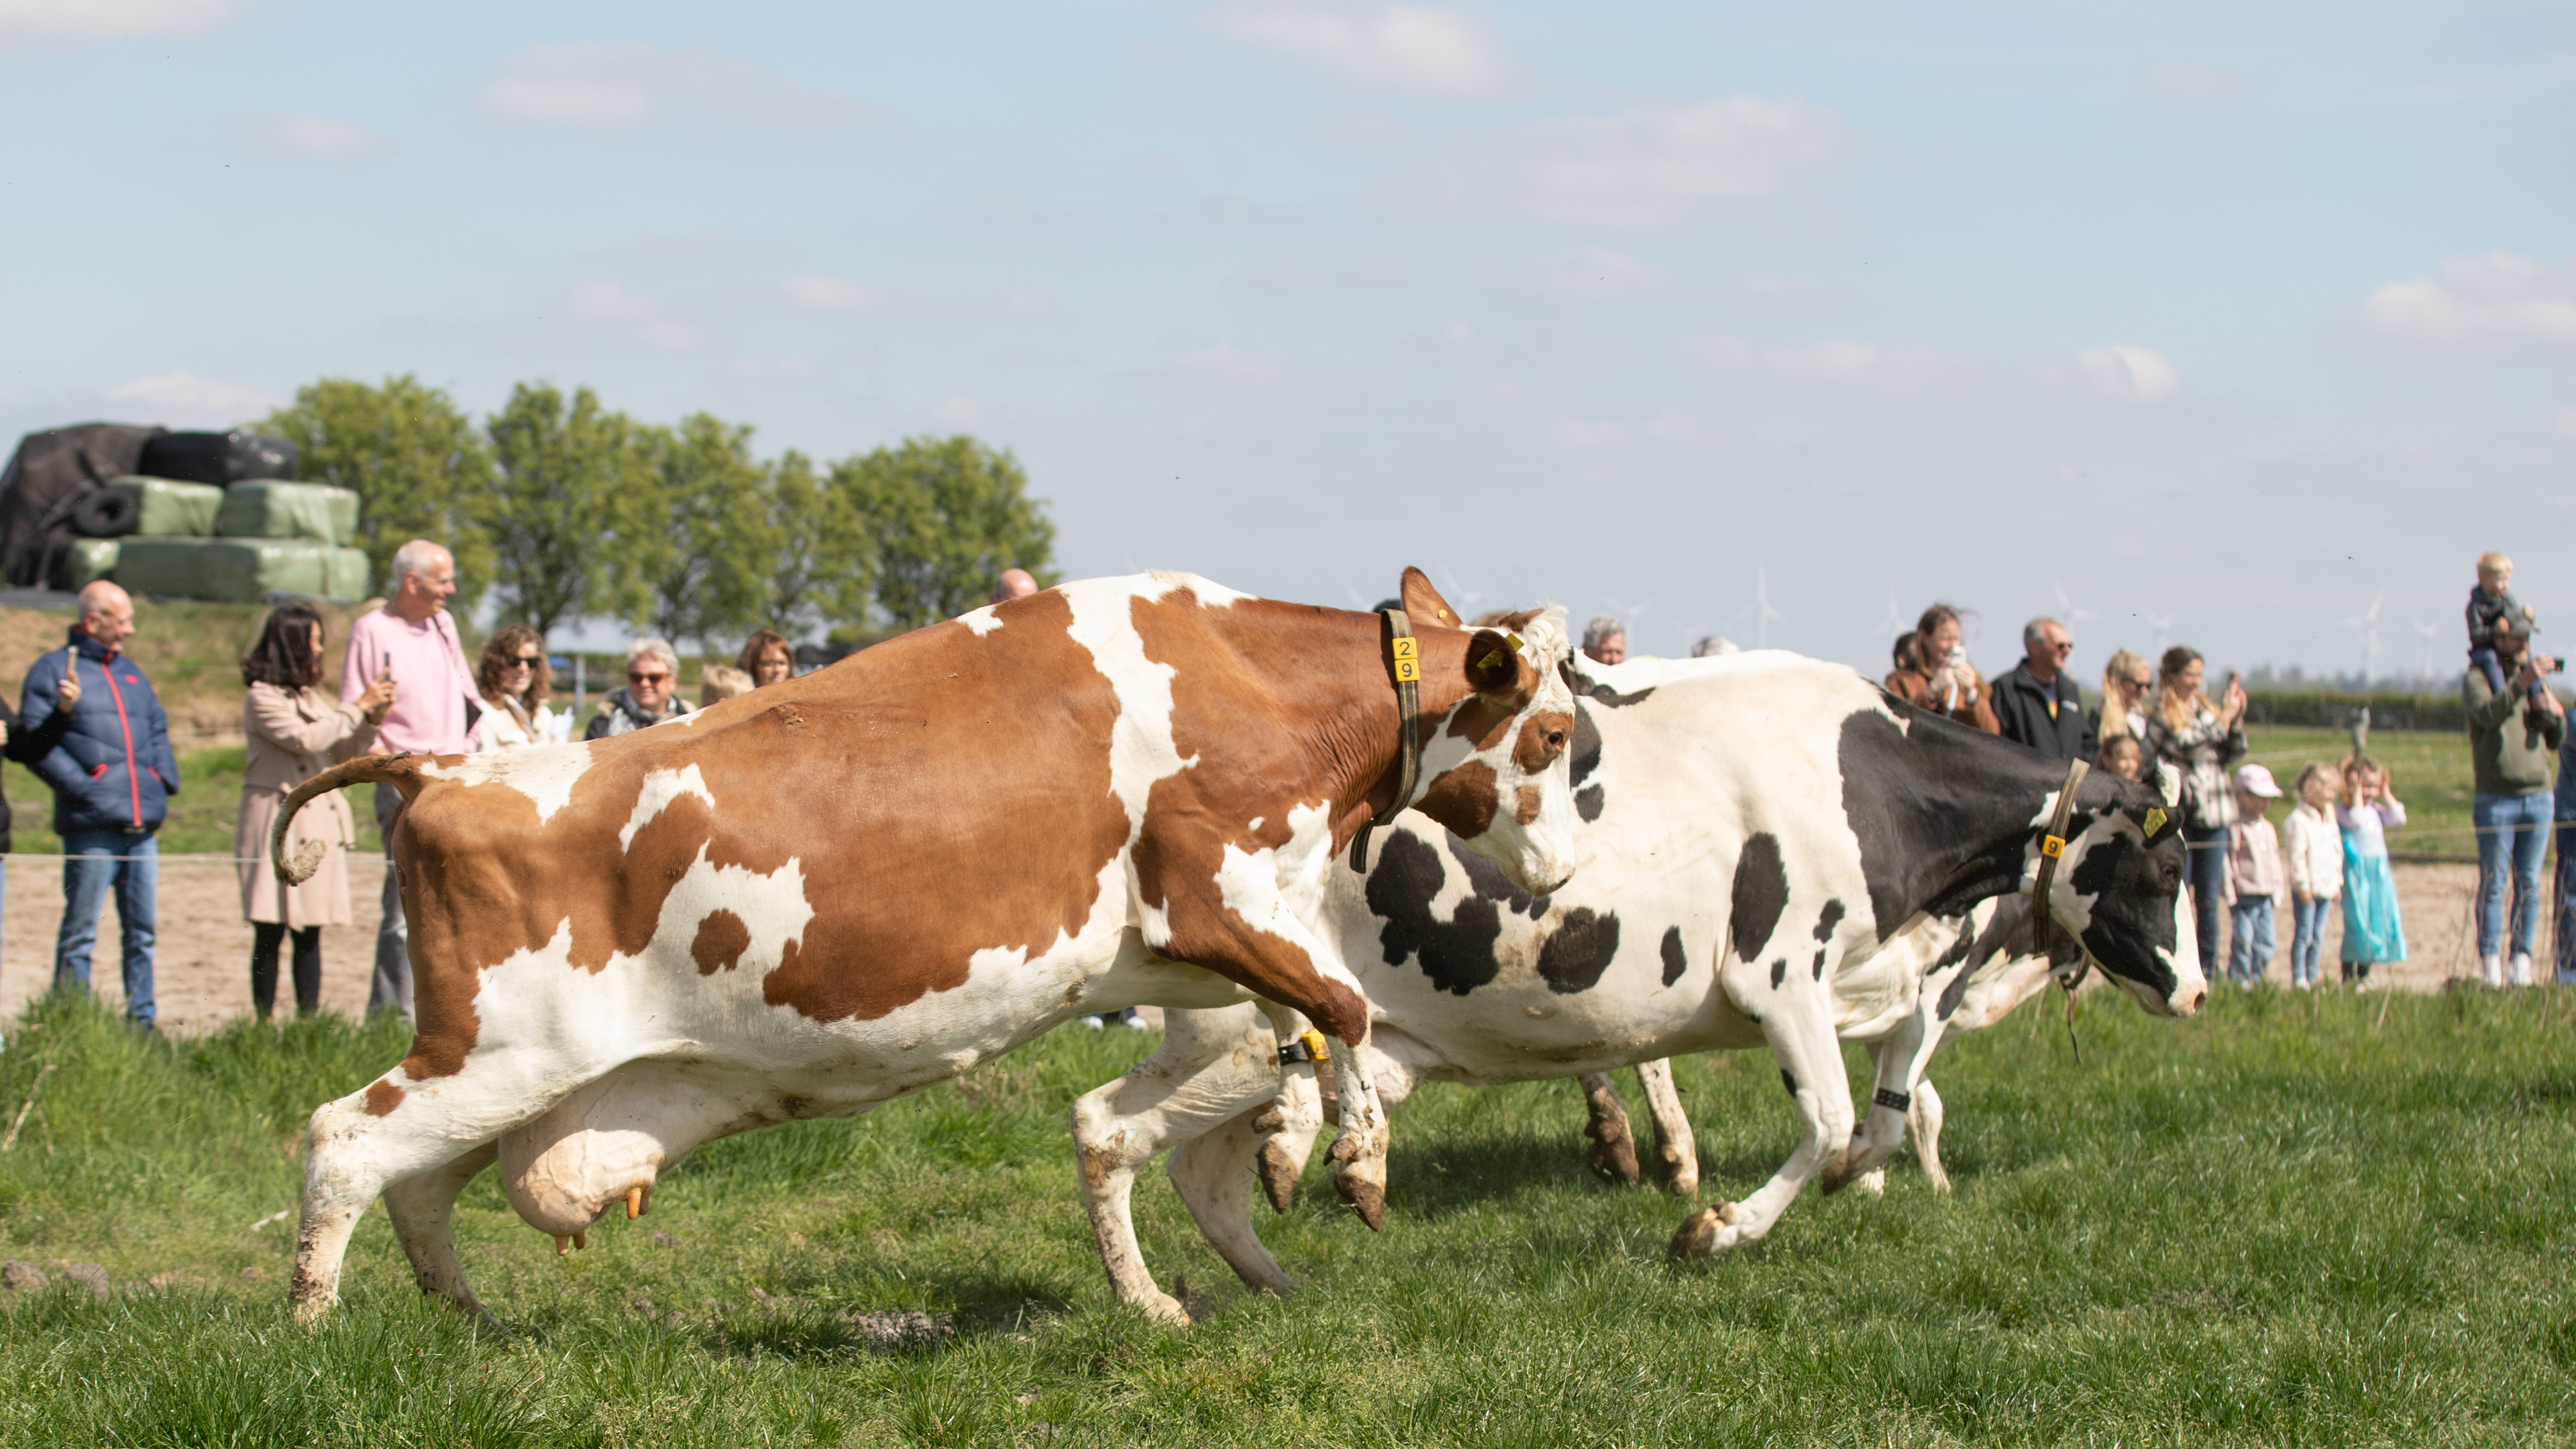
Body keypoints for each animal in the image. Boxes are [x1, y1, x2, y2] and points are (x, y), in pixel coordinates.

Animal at [273, 569, 1581, 1324]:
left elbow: (1295, 1028)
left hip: (507, 1069)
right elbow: (1343, 1010)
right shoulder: (1219, 897)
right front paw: (1357, 1164)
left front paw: (1292, 1152)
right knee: (344, 1141)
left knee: (420, 1179)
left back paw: (468, 1323)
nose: (1567, 869)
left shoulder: (1219, 940)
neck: (1261, 690)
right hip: (499, 1049)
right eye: (1557, 731)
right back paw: (316, 1328)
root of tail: (446, 768)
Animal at [1069, 649, 2205, 1322]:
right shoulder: (1785, 971)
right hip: (1259, 1025)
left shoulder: (1891, 989)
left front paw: (1862, 1185)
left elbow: (1887, 1115)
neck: (1868, 787)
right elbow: (1838, 1118)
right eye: (2167, 871)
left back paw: (1263, 1280)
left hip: (1268, 1041)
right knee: (1115, 1130)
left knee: (1178, 1152)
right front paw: (1715, 1228)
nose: (2195, 993)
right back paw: (1167, 1296)